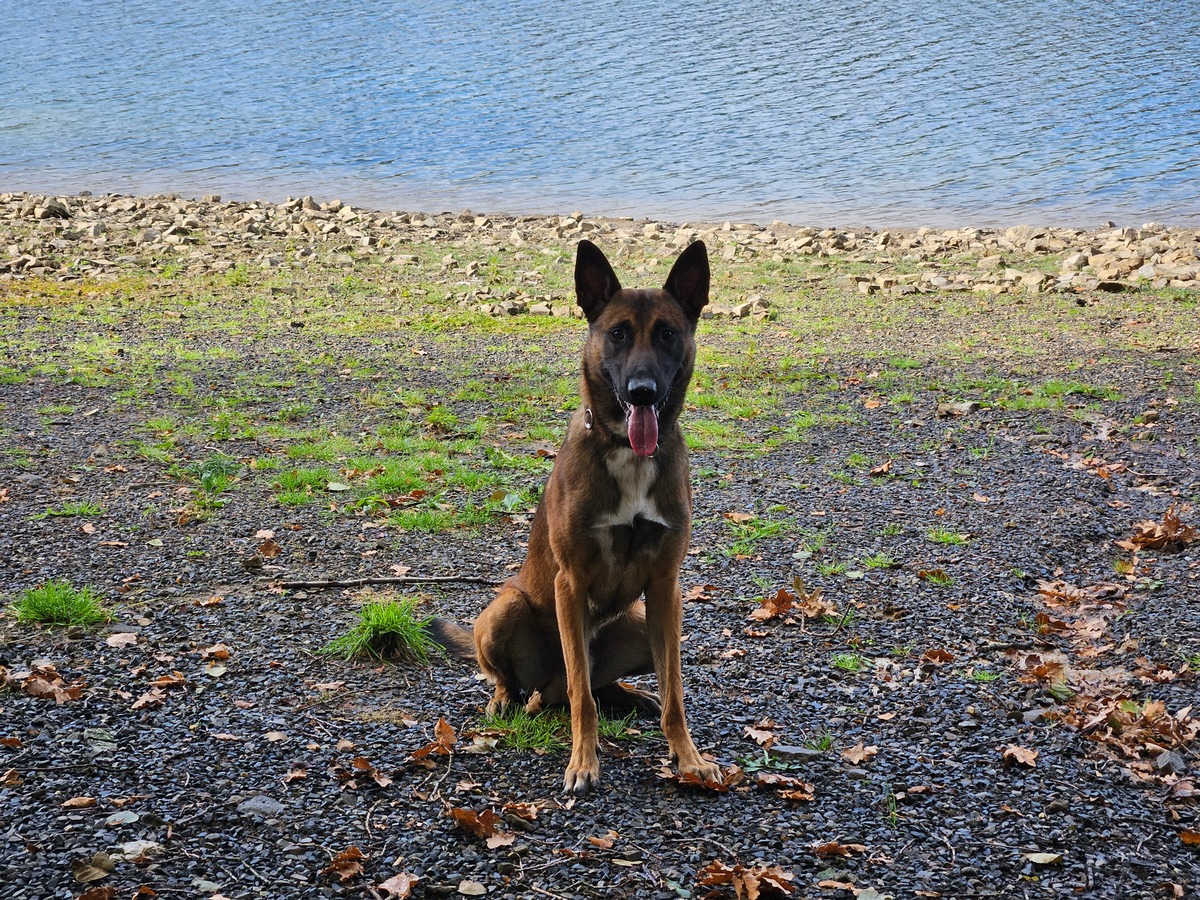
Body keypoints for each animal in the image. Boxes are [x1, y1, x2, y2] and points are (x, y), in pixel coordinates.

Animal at [432, 240, 715, 796]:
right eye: (618, 333)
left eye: (667, 334)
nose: (643, 391)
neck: (626, 450)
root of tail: (545, 687)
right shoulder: (571, 582)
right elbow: (583, 698)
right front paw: (584, 761)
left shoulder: (666, 587)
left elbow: (675, 693)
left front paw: (688, 758)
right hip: (504, 609)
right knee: (540, 684)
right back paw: (507, 699)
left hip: (642, 624)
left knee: (595, 684)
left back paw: (629, 695)